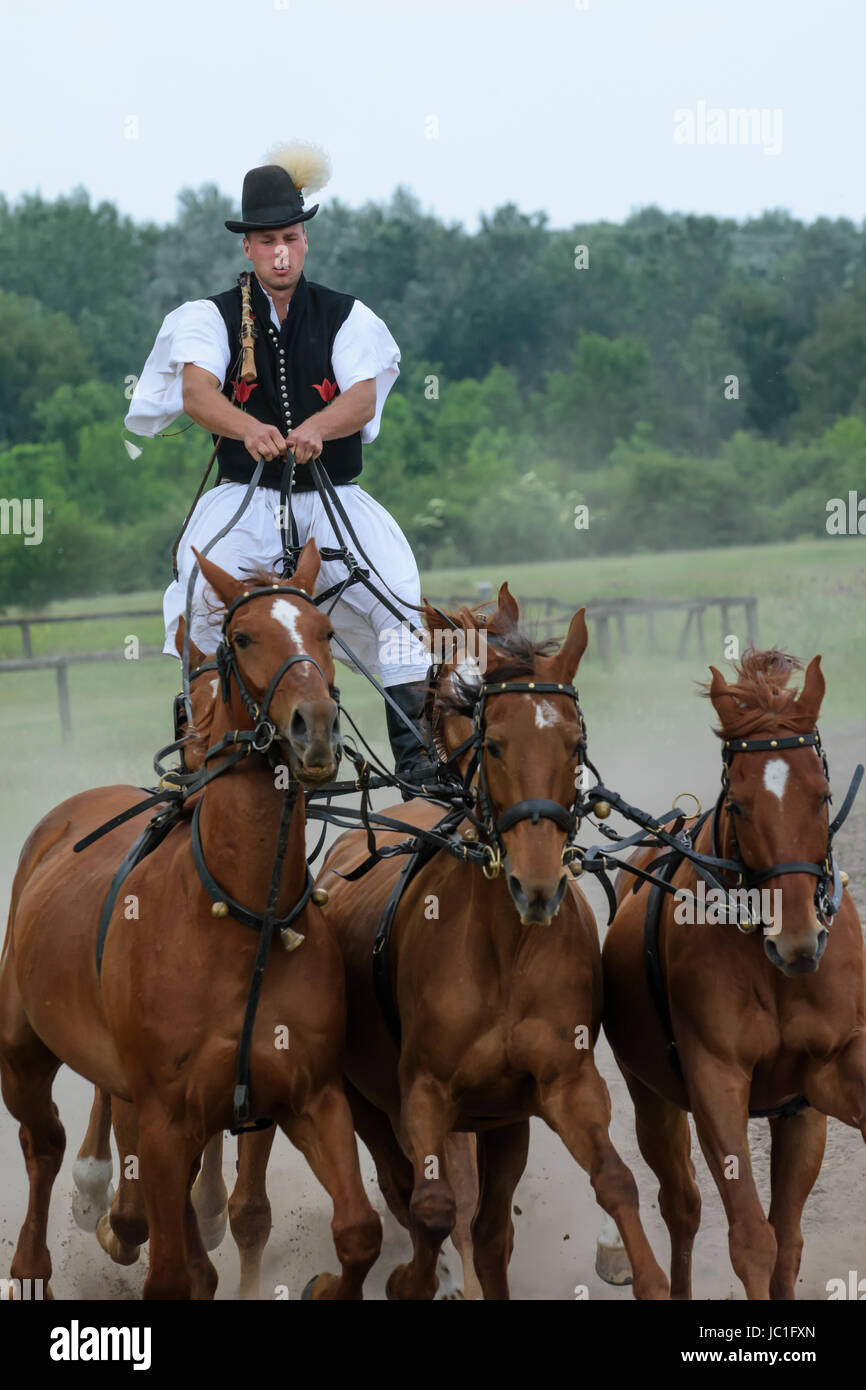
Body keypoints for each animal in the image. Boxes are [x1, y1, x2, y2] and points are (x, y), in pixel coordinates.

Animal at [0, 544, 383, 1301]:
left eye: (325, 631)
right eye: (245, 637)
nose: (315, 726)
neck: (244, 920)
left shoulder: (309, 1095)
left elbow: (359, 1230)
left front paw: (329, 1284)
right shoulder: (165, 1118)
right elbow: (171, 1271)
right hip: (21, 1047)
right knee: (43, 1143)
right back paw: (37, 1260)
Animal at [603, 650, 866, 1301]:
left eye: (823, 795)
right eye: (742, 805)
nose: (798, 941)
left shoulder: (824, 1080)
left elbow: (786, 1241)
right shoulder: (716, 1083)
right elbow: (753, 1240)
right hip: (650, 1096)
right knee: (682, 1205)